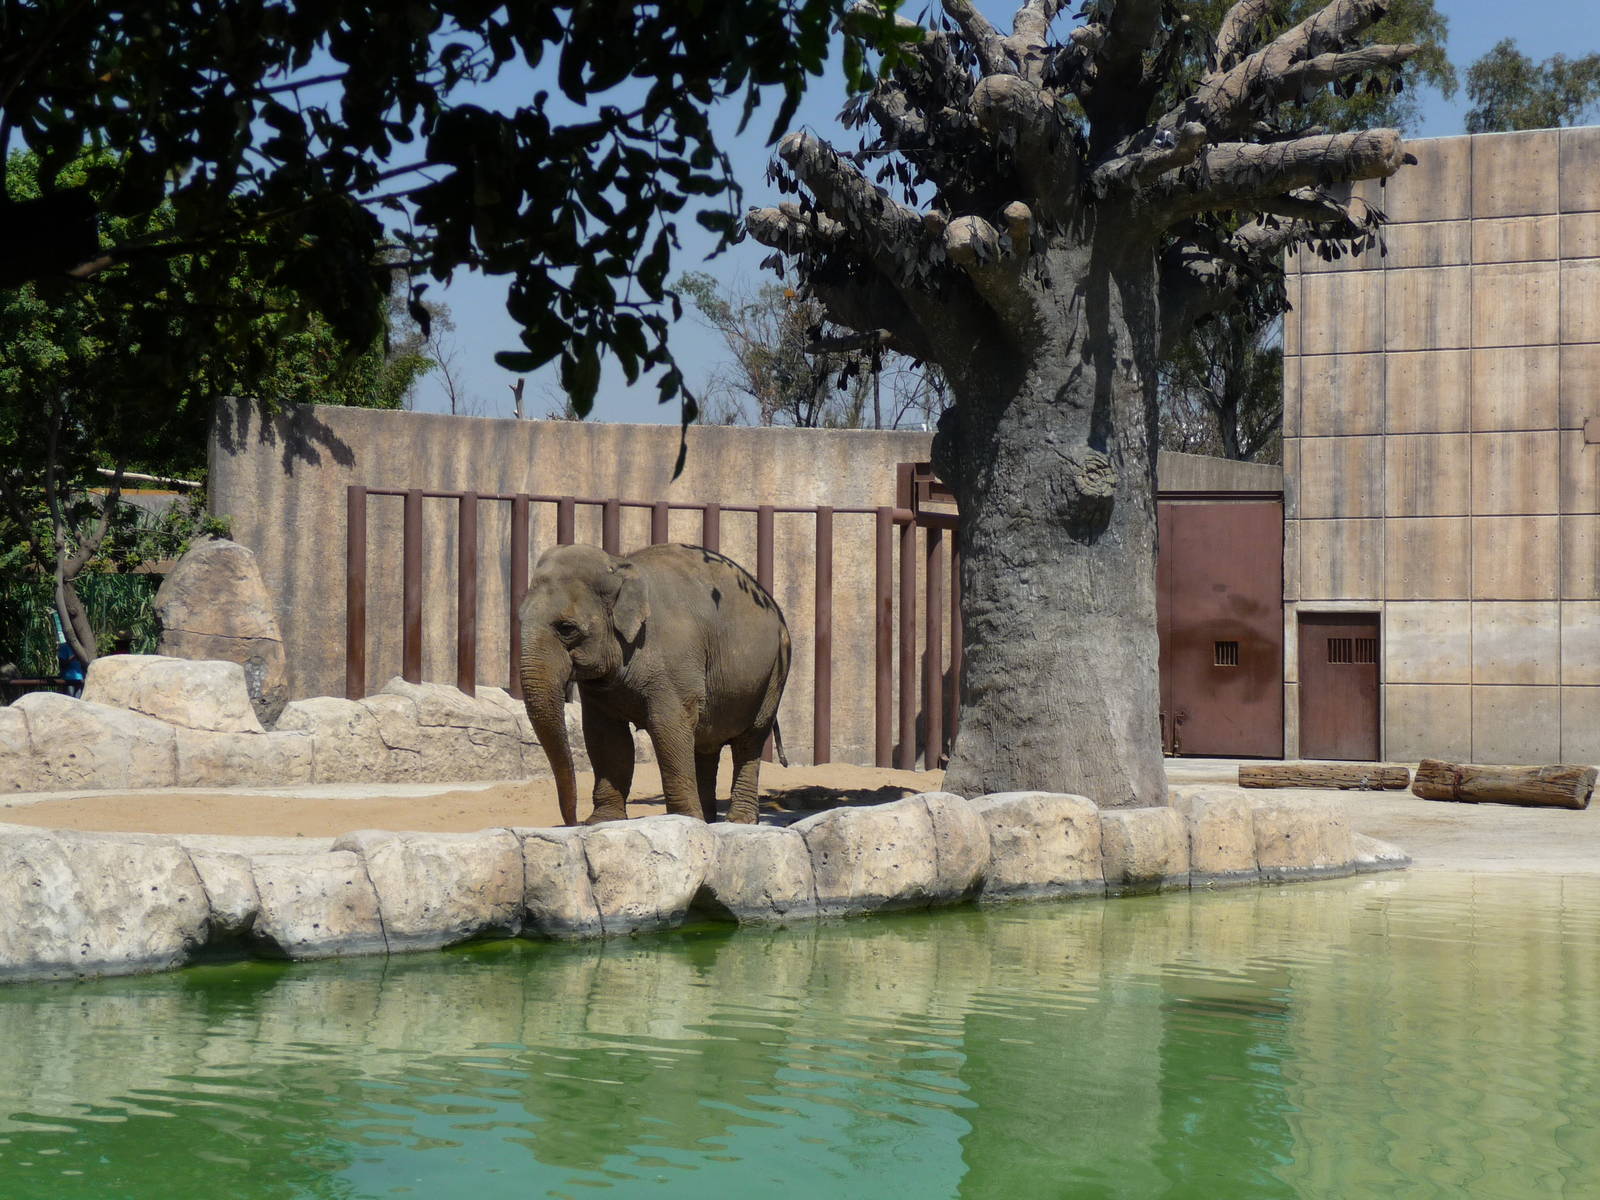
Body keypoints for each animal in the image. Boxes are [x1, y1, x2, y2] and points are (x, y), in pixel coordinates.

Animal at [518, 541, 791, 826]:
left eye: (567, 628)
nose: (574, 822)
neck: (618, 566)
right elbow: (605, 736)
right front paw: (604, 821)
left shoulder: (675, 658)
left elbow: (667, 725)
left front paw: (683, 818)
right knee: (705, 741)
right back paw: (707, 819)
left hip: (774, 672)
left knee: (750, 738)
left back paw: (738, 820)